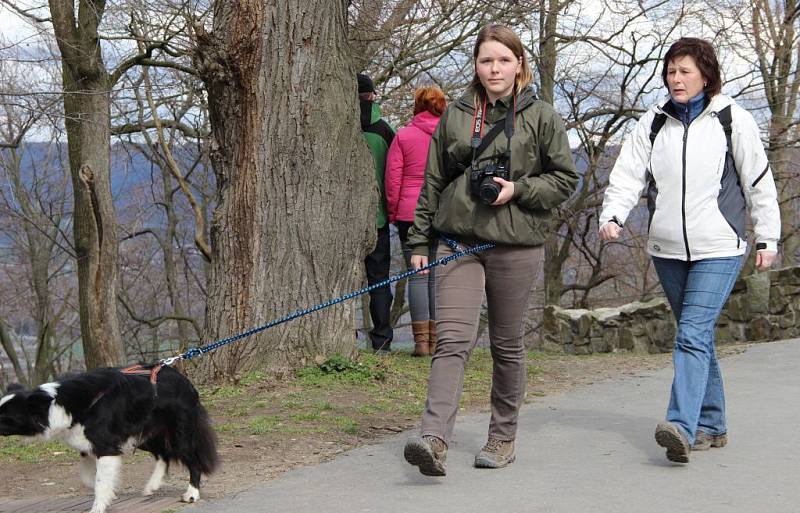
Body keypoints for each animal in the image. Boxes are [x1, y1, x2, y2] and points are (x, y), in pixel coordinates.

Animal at [0, 364, 217, 512]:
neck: (60, 403)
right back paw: (152, 485)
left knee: (192, 460)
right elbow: (90, 477)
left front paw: (98, 506)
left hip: (178, 432)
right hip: (143, 435)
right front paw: (109, 492)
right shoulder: (89, 444)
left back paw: (191, 494)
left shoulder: (106, 446)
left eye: (5, 417)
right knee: (163, 454)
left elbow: (100, 480)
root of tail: (186, 382)